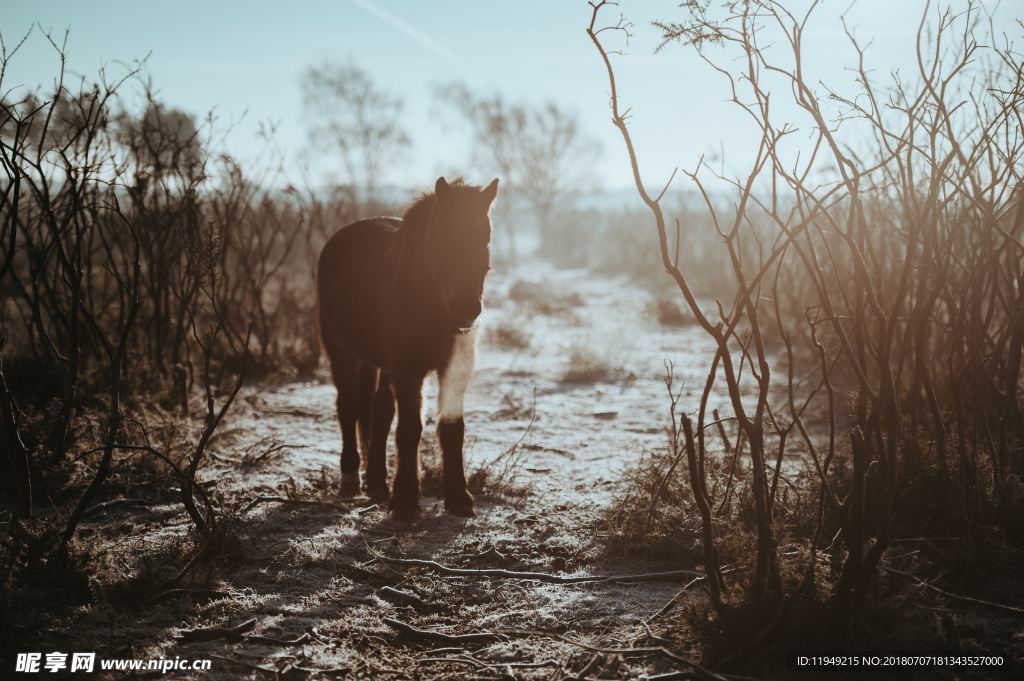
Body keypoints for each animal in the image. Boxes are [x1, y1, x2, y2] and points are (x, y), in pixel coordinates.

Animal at [317, 176, 497, 520]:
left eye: (485, 239)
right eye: (443, 238)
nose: (466, 309)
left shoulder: (454, 368)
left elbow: (451, 429)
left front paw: (458, 498)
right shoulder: (408, 370)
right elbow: (410, 428)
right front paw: (404, 499)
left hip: (379, 364)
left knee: (378, 411)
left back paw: (376, 481)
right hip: (342, 354)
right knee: (347, 407)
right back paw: (351, 477)